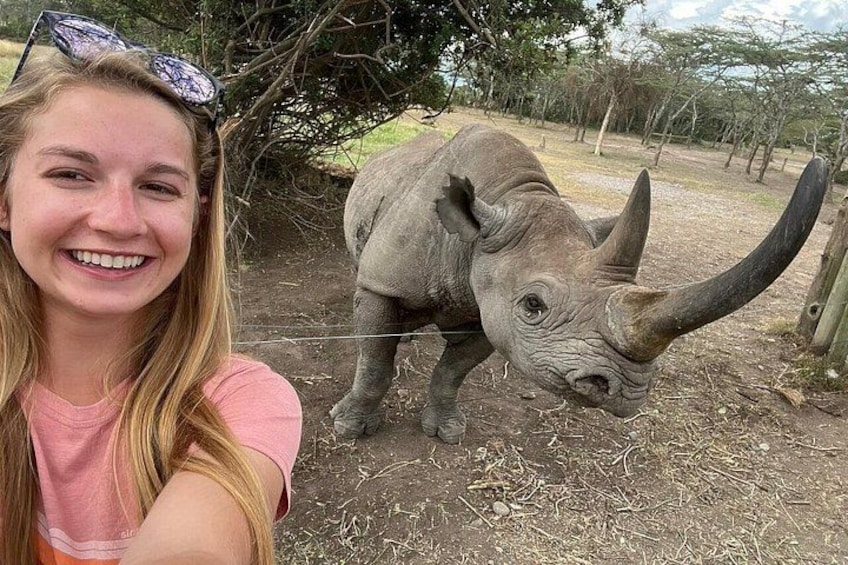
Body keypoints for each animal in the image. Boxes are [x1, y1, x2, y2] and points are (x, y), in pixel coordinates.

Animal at [330, 124, 826, 444]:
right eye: (533, 305)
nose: (626, 392)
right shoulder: (384, 283)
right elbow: (374, 362)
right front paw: (350, 427)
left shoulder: (490, 311)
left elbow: (453, 372)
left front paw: (446, 430)